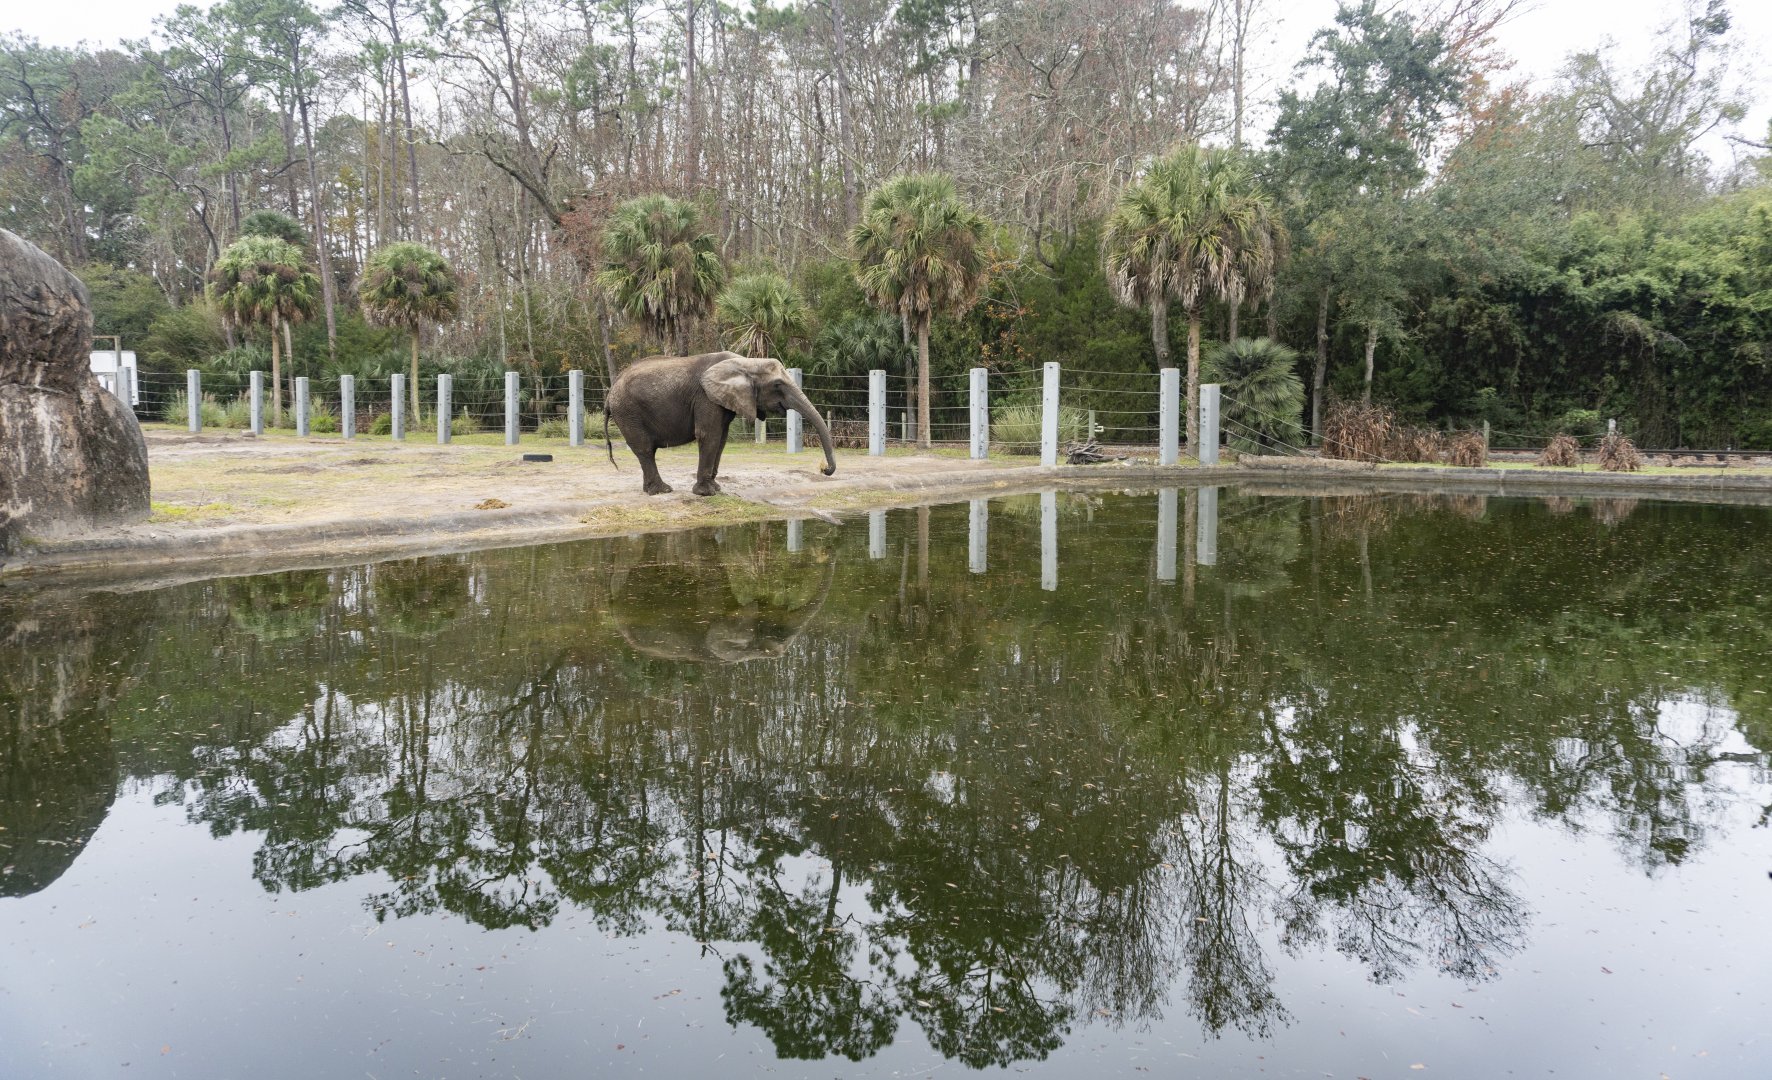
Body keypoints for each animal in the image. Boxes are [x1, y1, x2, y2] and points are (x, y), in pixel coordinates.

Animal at [604, 351, 836, 496]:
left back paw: (652, 490)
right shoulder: (705, 397)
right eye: (777, 385)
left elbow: (721, 438)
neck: (746, 362)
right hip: (628, 411)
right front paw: (706, 493)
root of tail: (609, 394)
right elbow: (710, 435)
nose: (824, 469)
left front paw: (716, 488)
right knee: (644, 448)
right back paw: (663, 491)